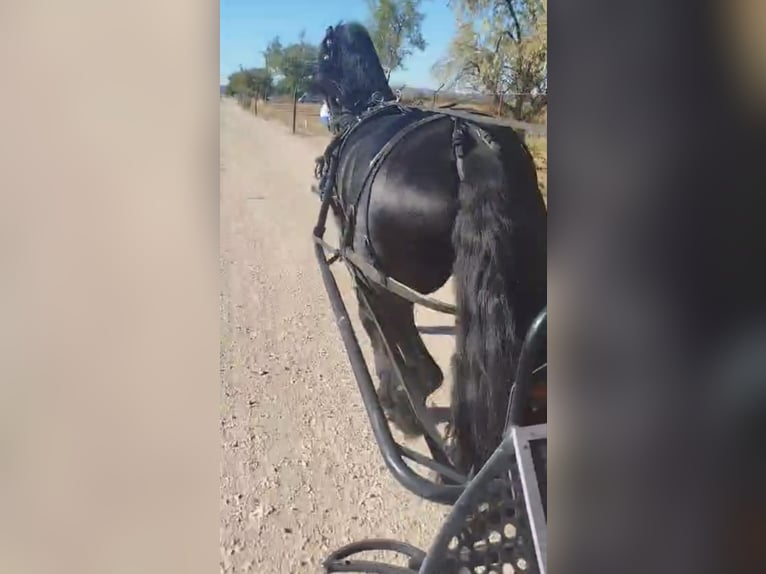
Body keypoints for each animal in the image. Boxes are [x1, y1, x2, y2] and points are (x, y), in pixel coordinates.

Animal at [312, 22, 547, 475]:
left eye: (321, 57)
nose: (312, 95)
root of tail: (468, 141)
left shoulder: (361, 266)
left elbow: (372, 323)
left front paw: (395, 398)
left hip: (384, 275)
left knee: (405, 343)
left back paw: (402, 404)